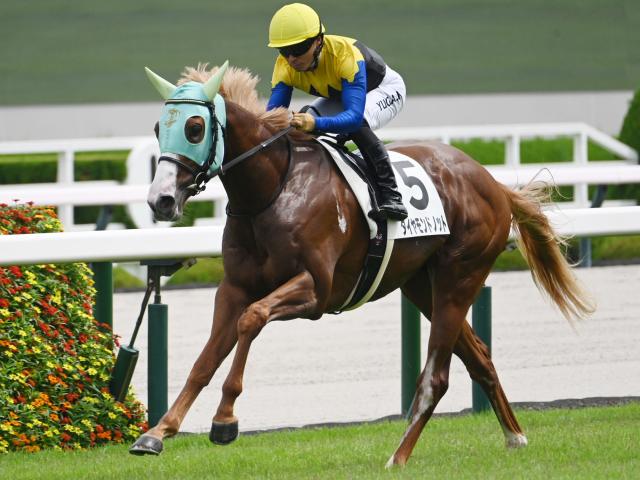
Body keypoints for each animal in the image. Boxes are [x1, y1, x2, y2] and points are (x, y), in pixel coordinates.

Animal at [130, 61, 594, 467]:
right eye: (157, 128)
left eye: (194, 128)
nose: (161, 201)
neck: (272, 188)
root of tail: (494, 184)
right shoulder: (234, 288)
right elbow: (204, 360)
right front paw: (157, 433)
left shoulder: (314, 291)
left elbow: (252, 319)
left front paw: (225, 420)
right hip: (422, 286)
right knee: (479, 356)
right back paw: (514, 436)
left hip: (460, 275)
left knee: (437, 377)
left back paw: (398, 457)